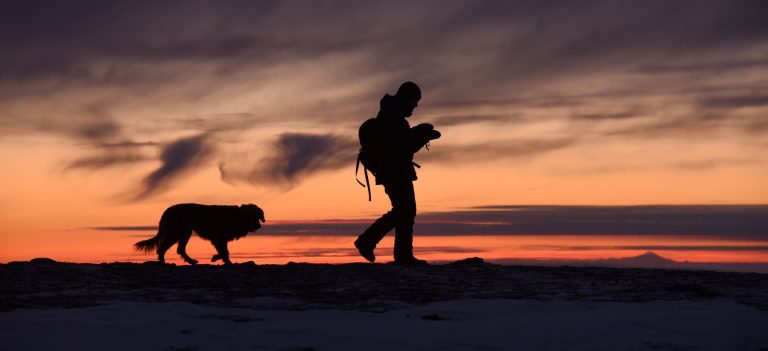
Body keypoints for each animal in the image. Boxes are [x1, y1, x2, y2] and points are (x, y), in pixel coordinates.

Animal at [132, 205, 264, 266]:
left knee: (180, 249)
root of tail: (166, 211)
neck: (237, 216)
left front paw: (218, 258)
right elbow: (225, 252)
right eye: (252, 216)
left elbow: (224, 251)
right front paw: (225, 261)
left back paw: (191, 261)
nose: (259, 226)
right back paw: (164, 263)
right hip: (177, 232)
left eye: (257, 216)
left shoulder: (221, 239)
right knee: (162, 249)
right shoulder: (218, 238)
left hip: (185, 232)